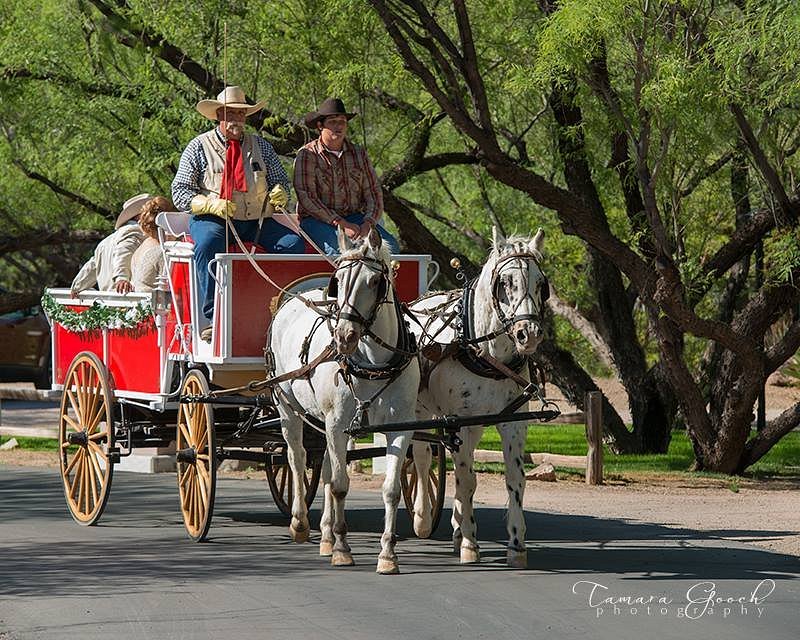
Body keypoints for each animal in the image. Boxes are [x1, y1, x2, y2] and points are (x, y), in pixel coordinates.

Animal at [268, 226, 422, 576]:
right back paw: (300, 523)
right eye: (337, 280)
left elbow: (391, 489)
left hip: (323, 421)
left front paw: (387, 554)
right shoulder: (337, 424)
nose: (344, 337)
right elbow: (339, 484)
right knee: (297, 459)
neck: (373, 363)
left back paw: (325, 534)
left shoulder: (399, 426)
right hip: (287, 407)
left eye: (375, 281)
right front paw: (341, 547)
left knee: (323, 466)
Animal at [410, 228, 548, 568]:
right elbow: (466, 479)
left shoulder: (513, 423)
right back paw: (424, 518)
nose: (528, 333)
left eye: (542, 283)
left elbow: (515, 479)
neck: (486, 353)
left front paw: (516, 544)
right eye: (505, 283)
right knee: (421, 458)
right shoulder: (461, 423)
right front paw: (471, 543)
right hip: (419, 409)